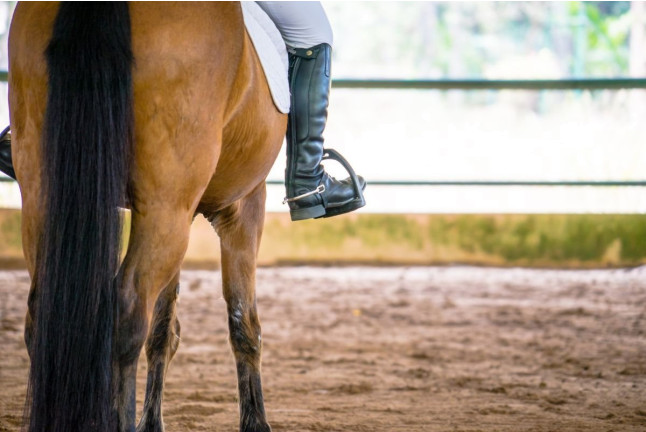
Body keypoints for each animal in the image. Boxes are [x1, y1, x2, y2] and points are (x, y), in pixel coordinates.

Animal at [9, 2, 285, 431]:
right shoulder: (242, 206)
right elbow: (244, 324)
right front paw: (255, 423)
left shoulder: (185, 212)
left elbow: (164, 330)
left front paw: (151, 420)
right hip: (166, 208)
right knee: (126, 313)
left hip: (45, 195)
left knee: (45, 313)